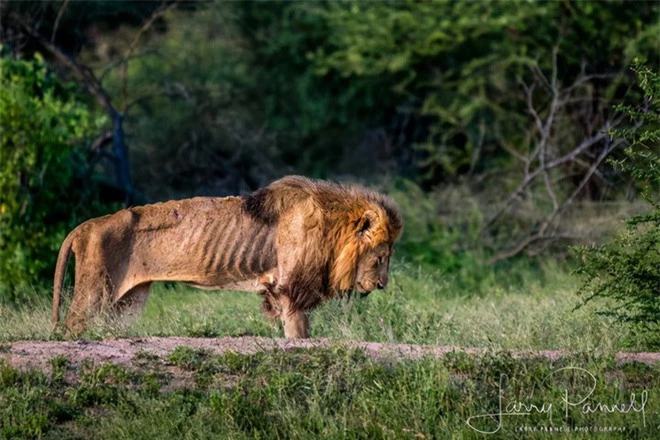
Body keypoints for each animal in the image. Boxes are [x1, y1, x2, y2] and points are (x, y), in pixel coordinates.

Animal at [52, 174, 402, 336]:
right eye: (381, 257)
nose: (382, 284)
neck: (332, 230)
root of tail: (87, 225)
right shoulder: (291, 289)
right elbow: (299, 333)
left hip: (126, 303)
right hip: (95, 292)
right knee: (70, 328)